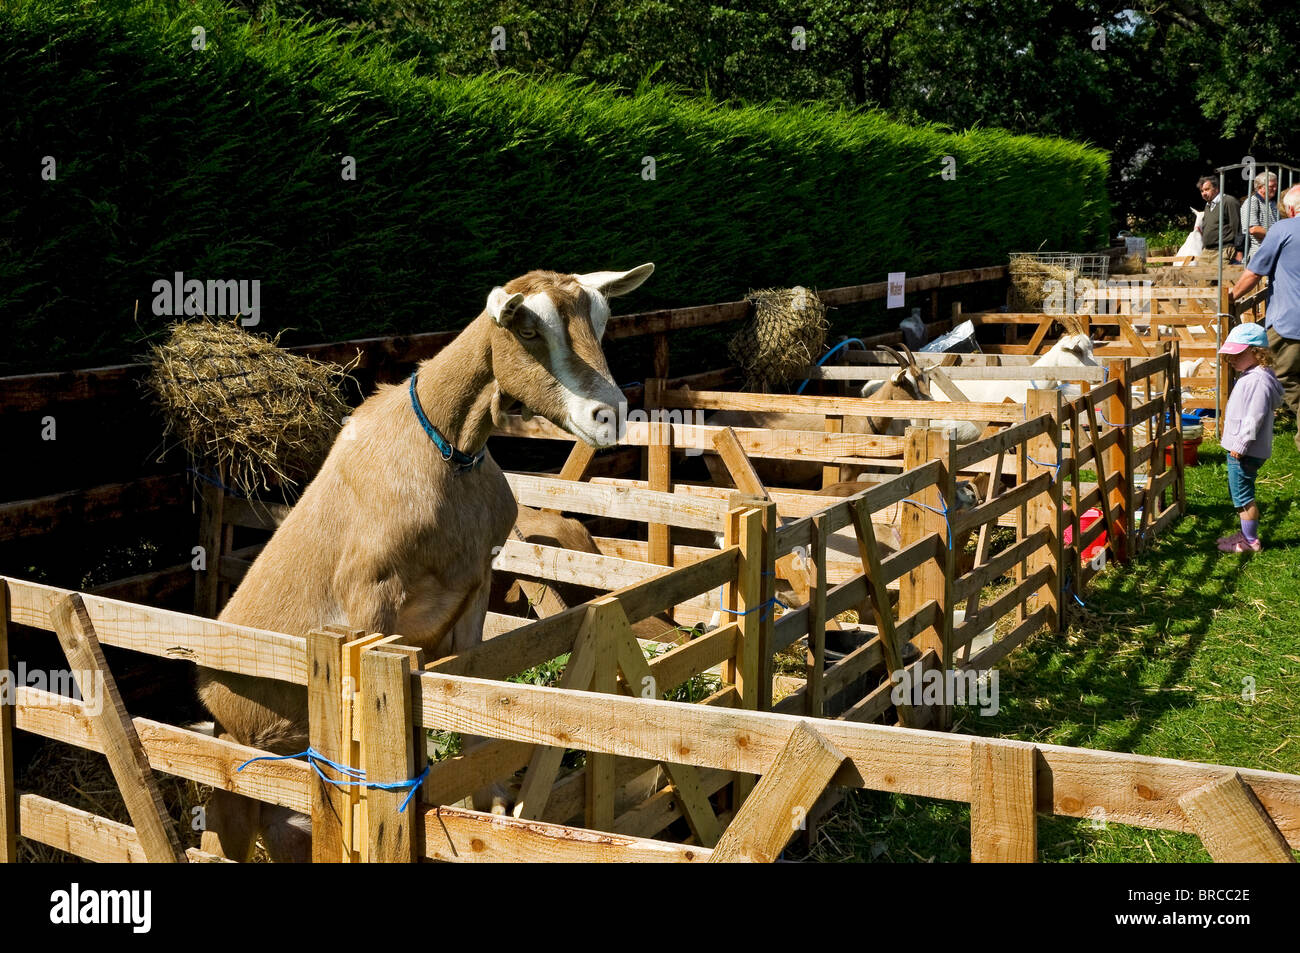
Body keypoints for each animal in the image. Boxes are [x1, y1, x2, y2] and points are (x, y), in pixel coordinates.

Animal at [197, 263, 653, 861]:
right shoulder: (369, 602)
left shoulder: (476, 584)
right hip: (232, 762)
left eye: (600, 322)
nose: (609, 417)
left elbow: (472, 686)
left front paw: (492, 803)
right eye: (528, 329)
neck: (446, 448)